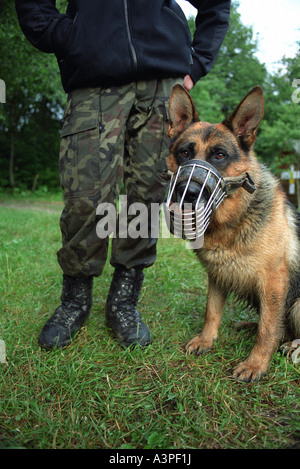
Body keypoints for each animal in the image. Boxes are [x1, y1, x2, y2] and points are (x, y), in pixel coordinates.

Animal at [166, 84, 300, 382]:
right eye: (184, 153)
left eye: (219, 155)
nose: (188, 193)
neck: (232, 221)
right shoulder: (217, 274)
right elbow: (211, 311)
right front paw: (206, 340)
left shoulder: (274, 282)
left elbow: (267, 329)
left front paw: (256, 364)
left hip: (296, 304)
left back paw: (294, 346)